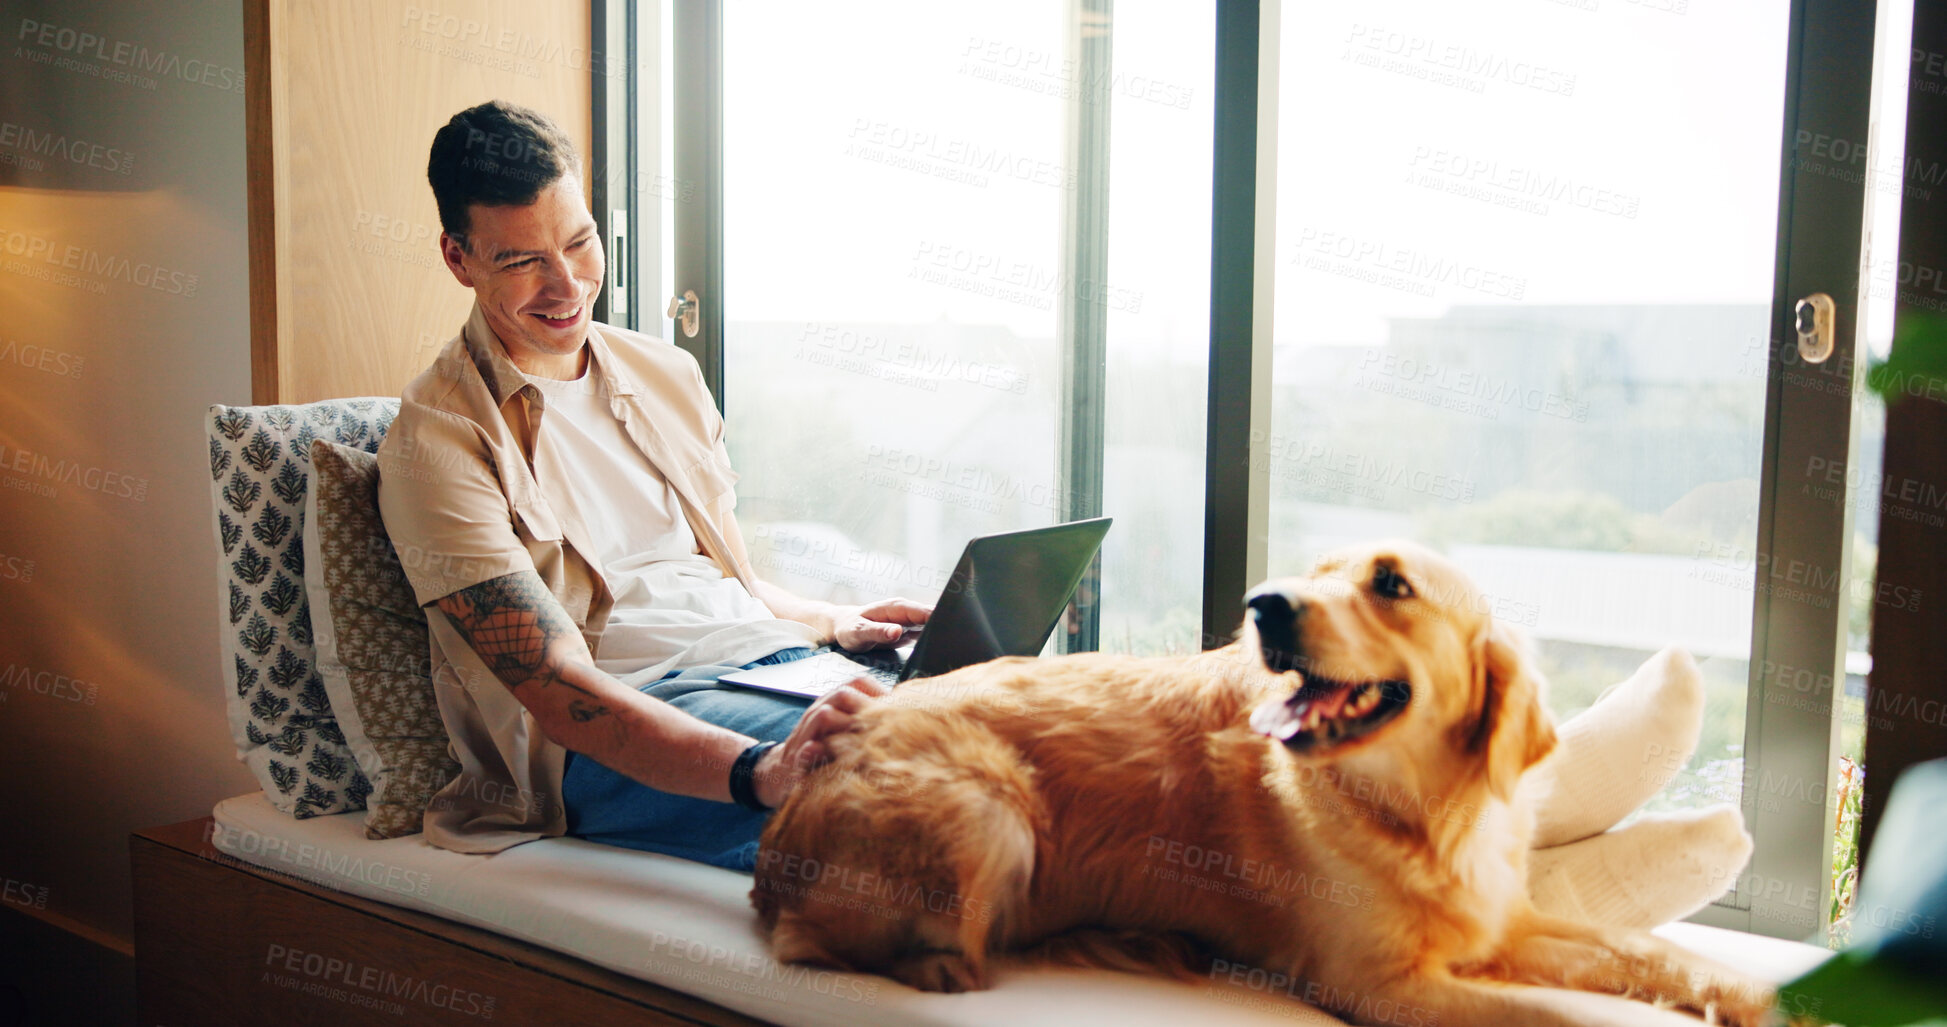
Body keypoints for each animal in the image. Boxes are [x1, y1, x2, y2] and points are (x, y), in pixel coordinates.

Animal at [747, 541, 1783, 1021]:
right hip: (990, 809)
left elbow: (1643, 950)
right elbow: (1558, 1012)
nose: (1263, 604)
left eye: (1390, 583)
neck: (1413, 809)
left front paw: (1754, 996)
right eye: (1315, 573)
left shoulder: (1503, 920)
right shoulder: (1381, 983)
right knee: (821, 941)